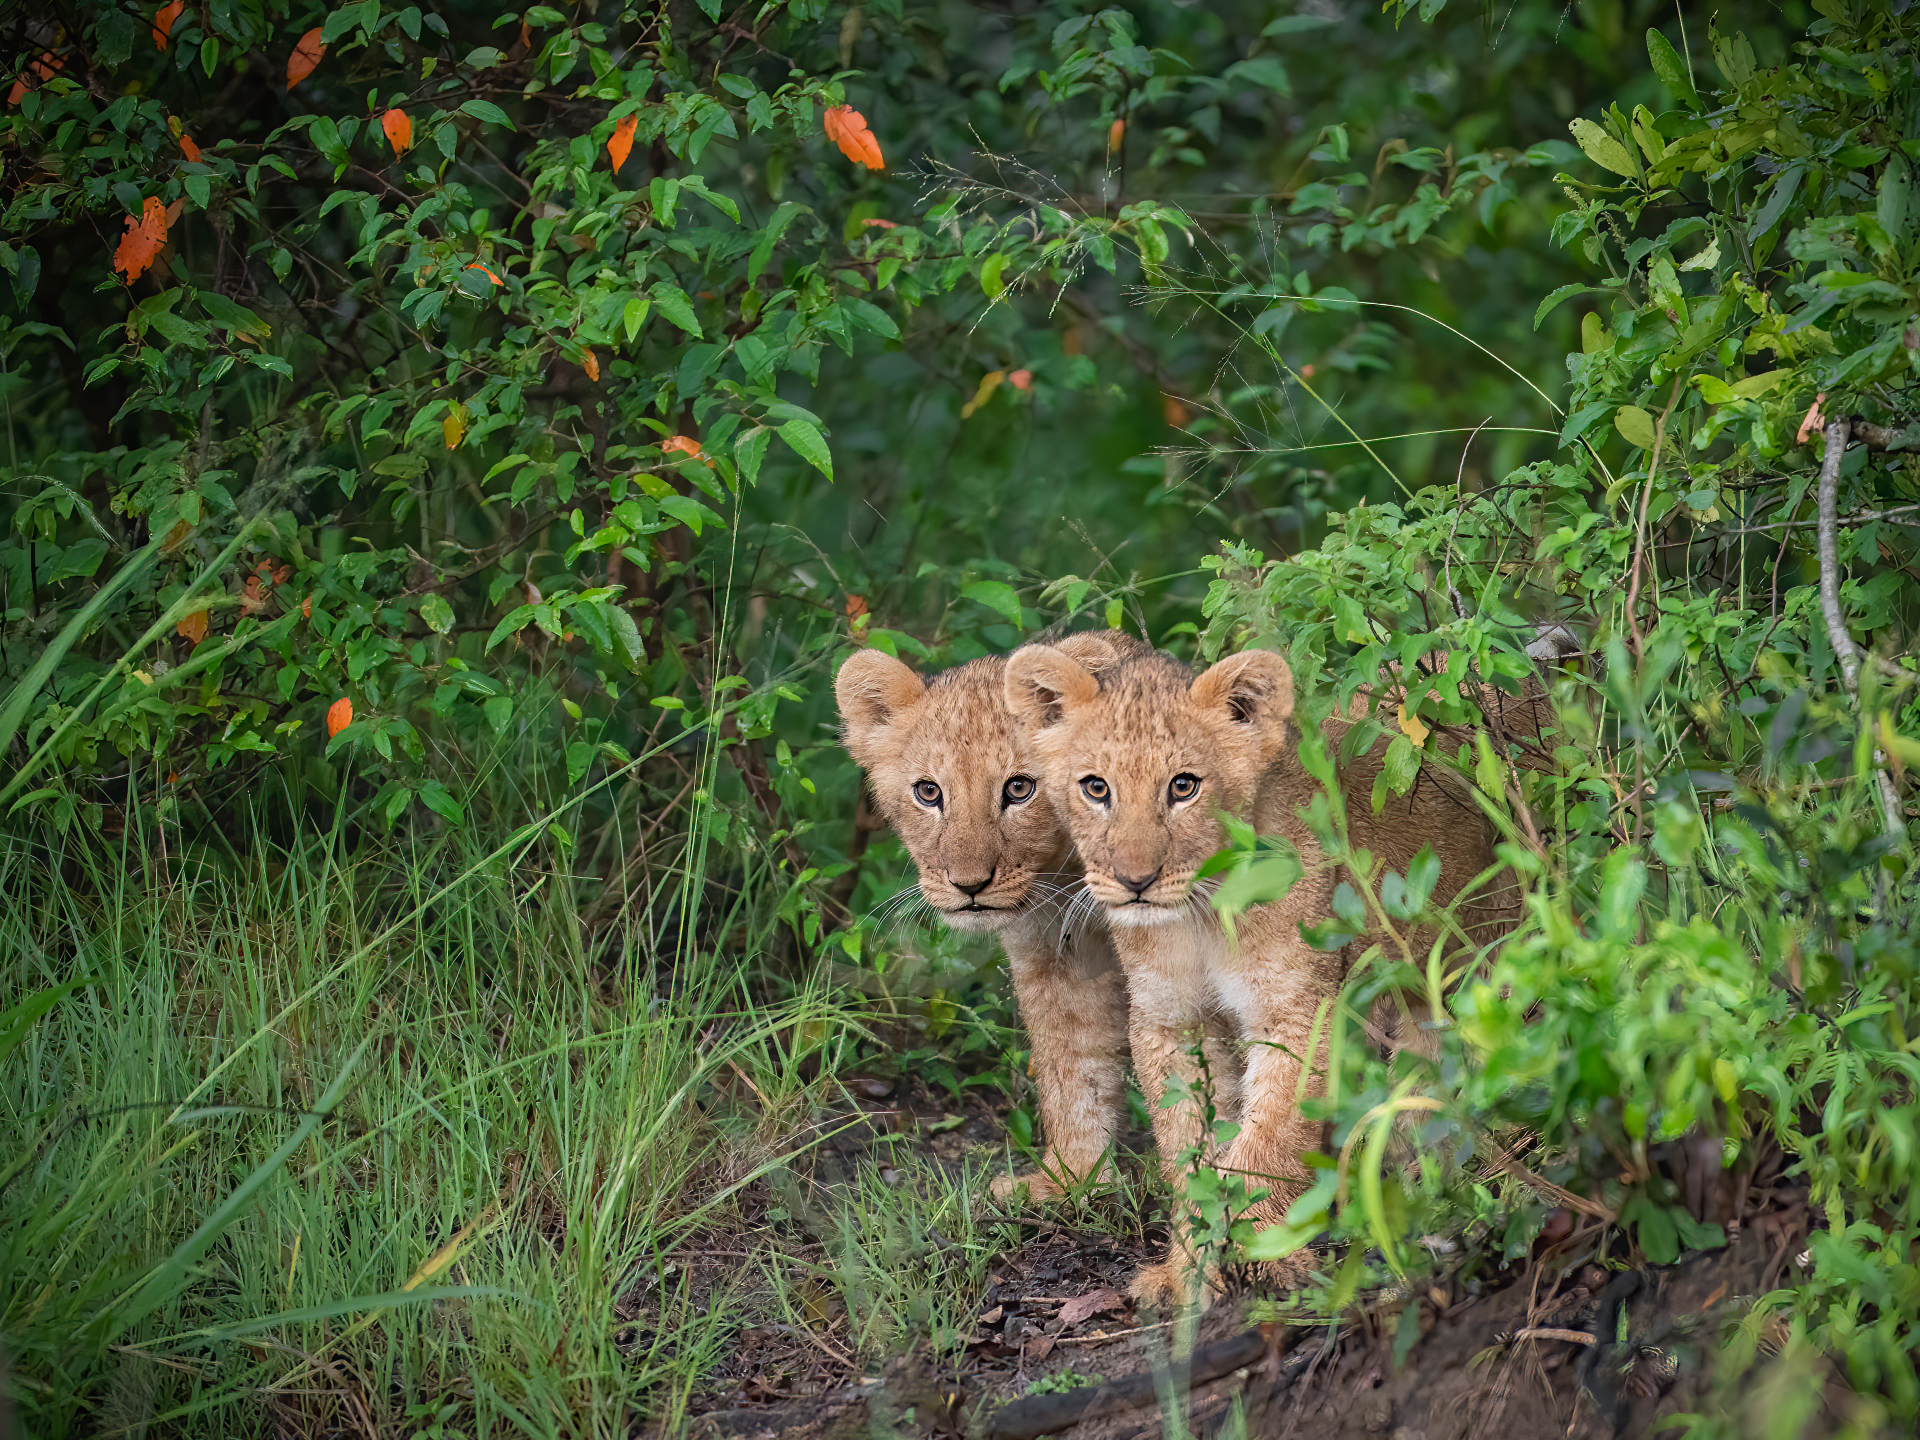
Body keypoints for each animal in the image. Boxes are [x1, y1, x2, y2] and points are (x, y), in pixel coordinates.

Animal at [834, 631, 1152, 1201]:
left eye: (1019, 788)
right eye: (929, 792)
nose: (969, 885)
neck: (1063, 881)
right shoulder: (1056, 960)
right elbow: (1072, 1066)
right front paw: (1071, 1181)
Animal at [1002, 644, 1513, 1306]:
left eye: (1184, 786)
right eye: (1096, 788)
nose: (1136, 881)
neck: (1199, 915)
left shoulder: (1297, 1010)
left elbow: (1269, 1139)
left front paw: (1260, 1253)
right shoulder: (1171, 1022)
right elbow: (1190, 1148)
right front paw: (1185, 1268)